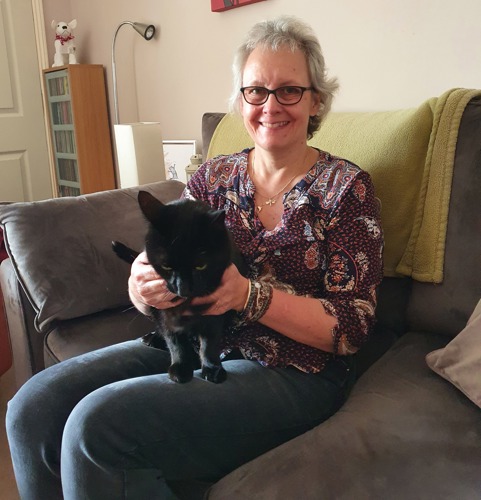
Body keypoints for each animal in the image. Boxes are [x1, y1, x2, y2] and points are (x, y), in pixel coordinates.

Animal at [113, 190, 246, 382]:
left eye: (200, 266)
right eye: (166, 266)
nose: (182, 288)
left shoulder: (218, 307)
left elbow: (210, 341)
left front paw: (212, 368)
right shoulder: (163, 311)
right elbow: (174, 340)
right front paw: (181, 367)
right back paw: (154, 338)